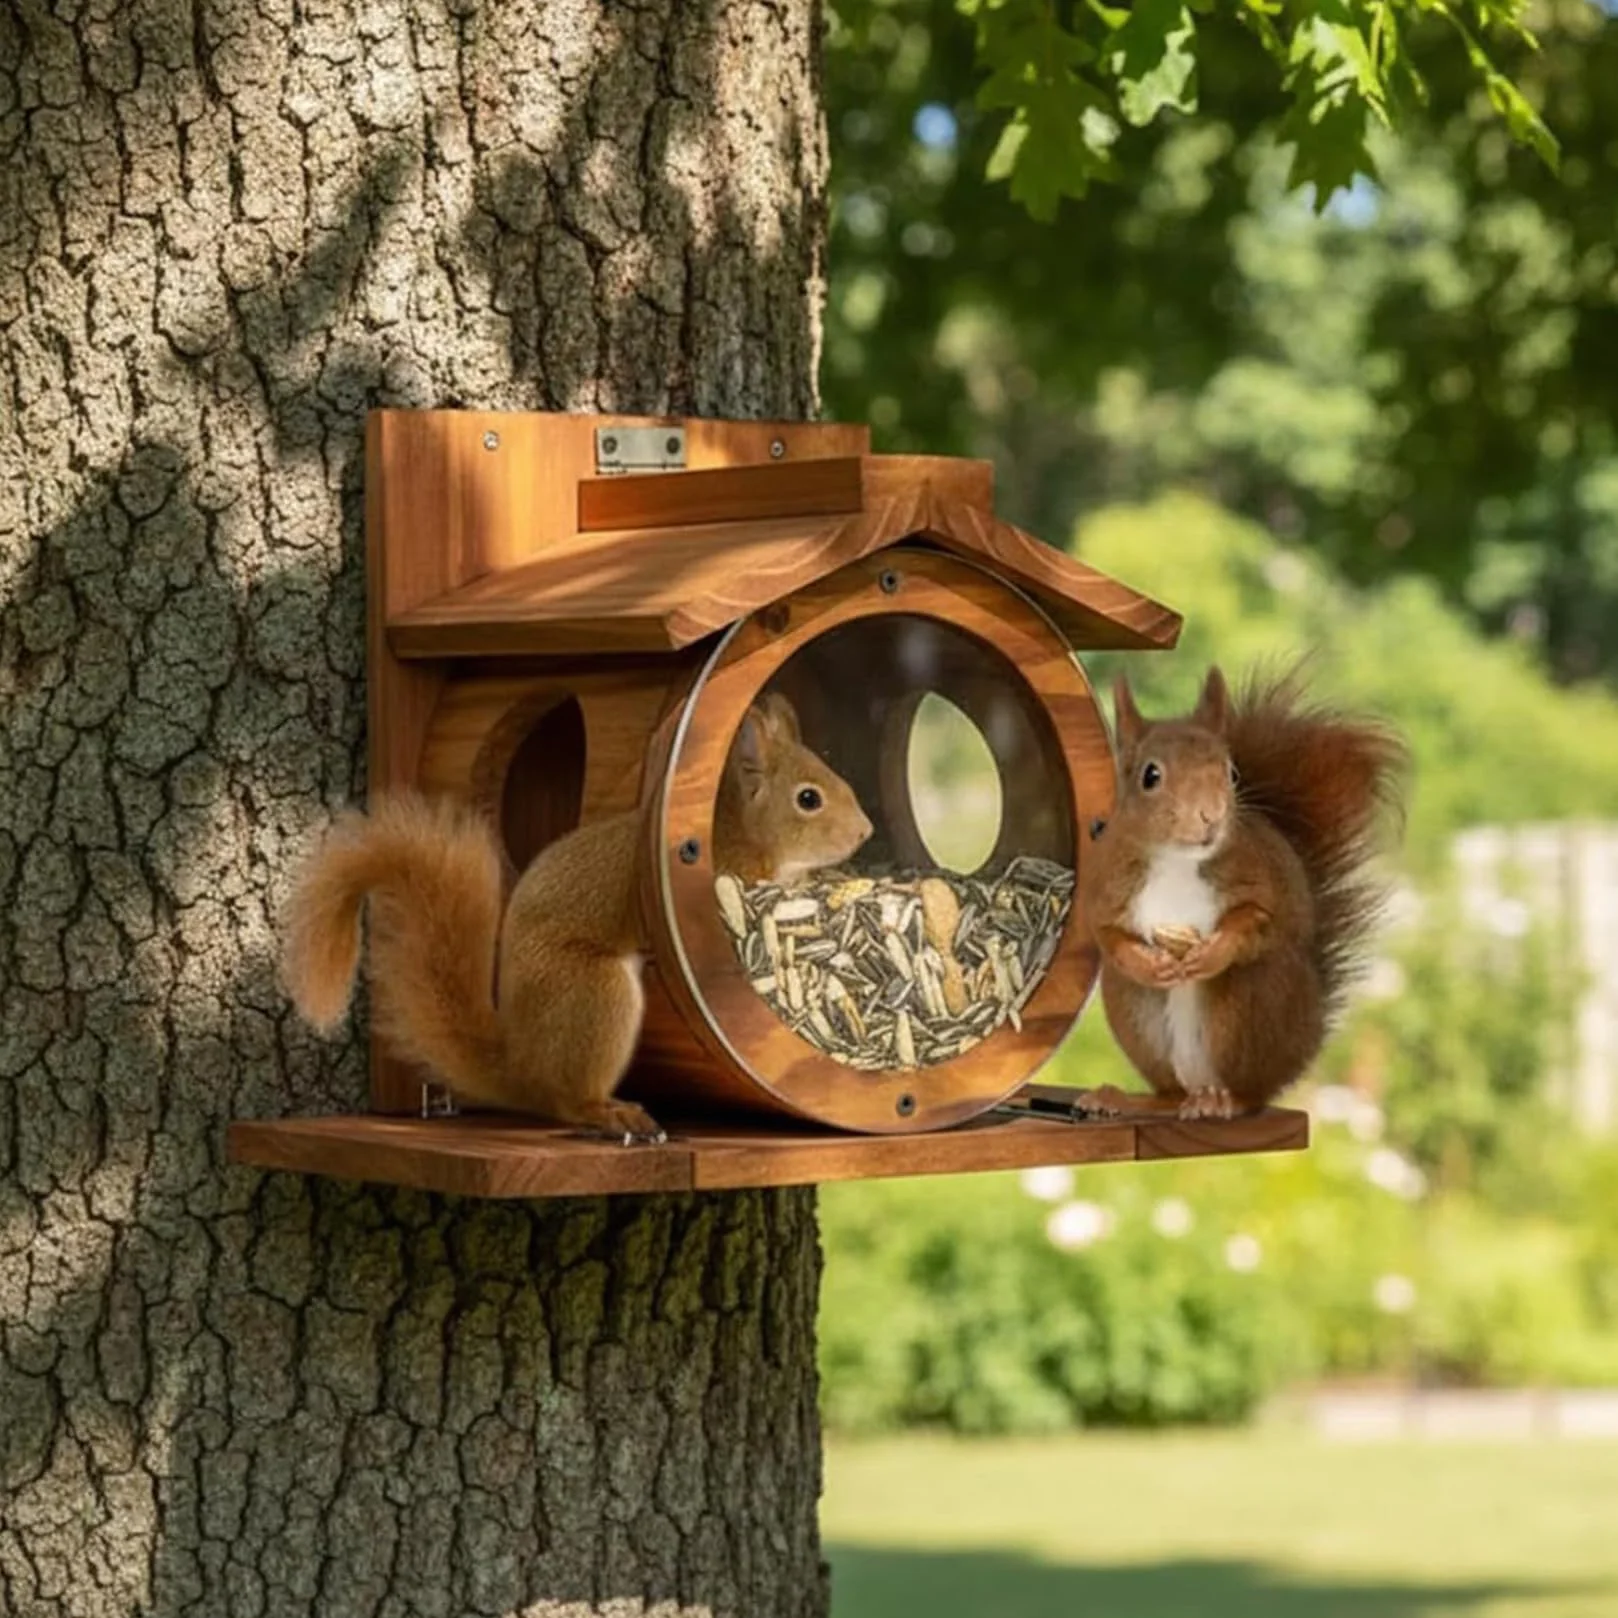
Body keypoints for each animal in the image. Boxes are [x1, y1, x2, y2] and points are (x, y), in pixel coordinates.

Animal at [279, 691, 872, 1140]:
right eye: (809, 799)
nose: (866, 831)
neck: (745, 832)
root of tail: (521, 1069)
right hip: (596, 994)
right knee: (568, 1103)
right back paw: (612, 1114)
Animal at [1076, 664, 1408, 1121]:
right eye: (1150, 776)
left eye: (1232, 774)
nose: (1211, 816)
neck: (1177, 860)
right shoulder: (1108, 884)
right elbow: (1106, 933)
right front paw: (1144, 961)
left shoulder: (1259, 878)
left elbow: (1256, 918)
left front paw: (1214, 951)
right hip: (1135, 1013)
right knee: (1169, 1094)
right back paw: (1126, 1099)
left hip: (1251, 1008)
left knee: (1253, 1091)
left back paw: (1225, 1101)